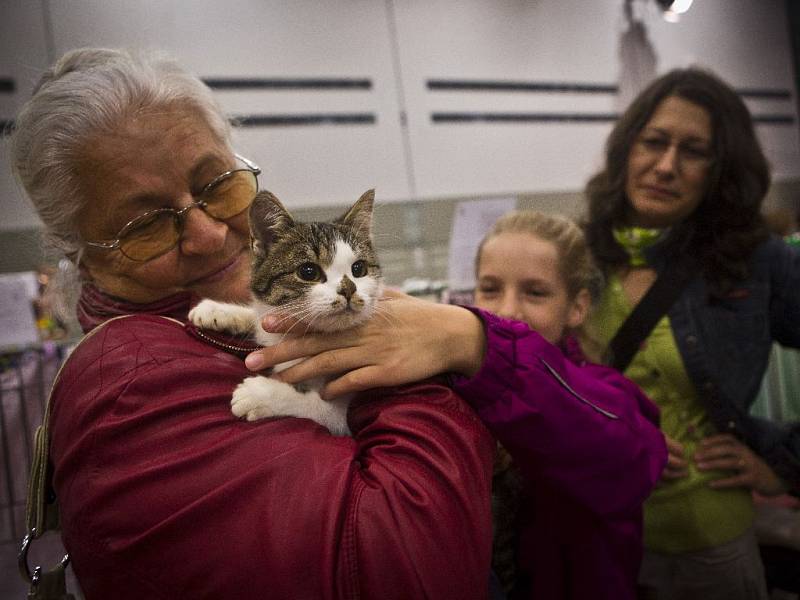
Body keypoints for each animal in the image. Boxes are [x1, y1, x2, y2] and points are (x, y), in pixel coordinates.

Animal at [191, 190, 384, 434]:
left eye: (359, 269)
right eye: (308, 271)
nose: (349, 289)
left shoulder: (348, 394)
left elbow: (323, 408)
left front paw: (259, 395)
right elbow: (261, 317)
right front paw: (215, 310)